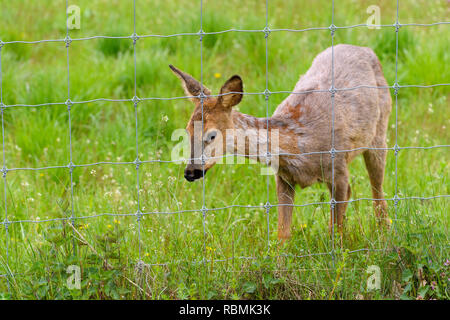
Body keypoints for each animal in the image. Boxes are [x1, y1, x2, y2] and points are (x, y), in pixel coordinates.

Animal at [171, 44, 392, 240]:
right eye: (188, 131)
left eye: (212, 135)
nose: (190, 172)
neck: (298, 145)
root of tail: (364, 49)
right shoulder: (284, 177)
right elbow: (283, 234)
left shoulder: (338, 167)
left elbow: (335, 231)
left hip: (379, 135)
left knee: (378, 193)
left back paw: (384, 235)